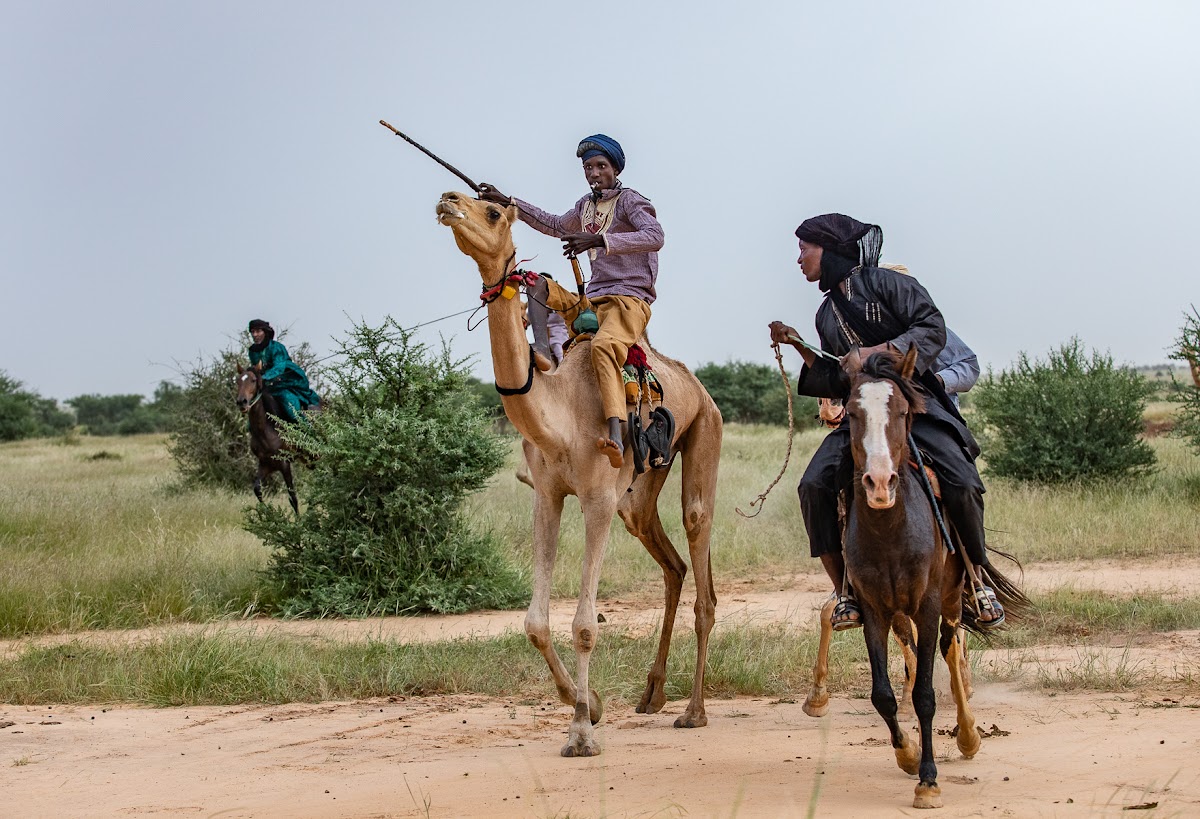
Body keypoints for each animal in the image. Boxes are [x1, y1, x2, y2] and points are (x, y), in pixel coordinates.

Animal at [234, 362, 300, 509]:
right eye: (237, 381)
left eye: (253, 380)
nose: (242, 402)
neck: (267, 431)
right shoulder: (266, 464)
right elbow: (257, 490)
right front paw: (267, 511)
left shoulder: (284, 464)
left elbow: (293, 498)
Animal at [441, 189, 720, 754]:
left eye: (492, 213)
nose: (447, 199)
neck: (560, 410)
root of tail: (699, 388)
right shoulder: (548, 494)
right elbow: (534, 623)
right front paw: (587, 703)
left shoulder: (596, 499)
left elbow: (586, 624)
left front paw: (580, 733)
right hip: (639, 492)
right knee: (672, 563)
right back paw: (652, 695)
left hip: (706, 430)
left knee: (700, 550)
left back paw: (693, 712)